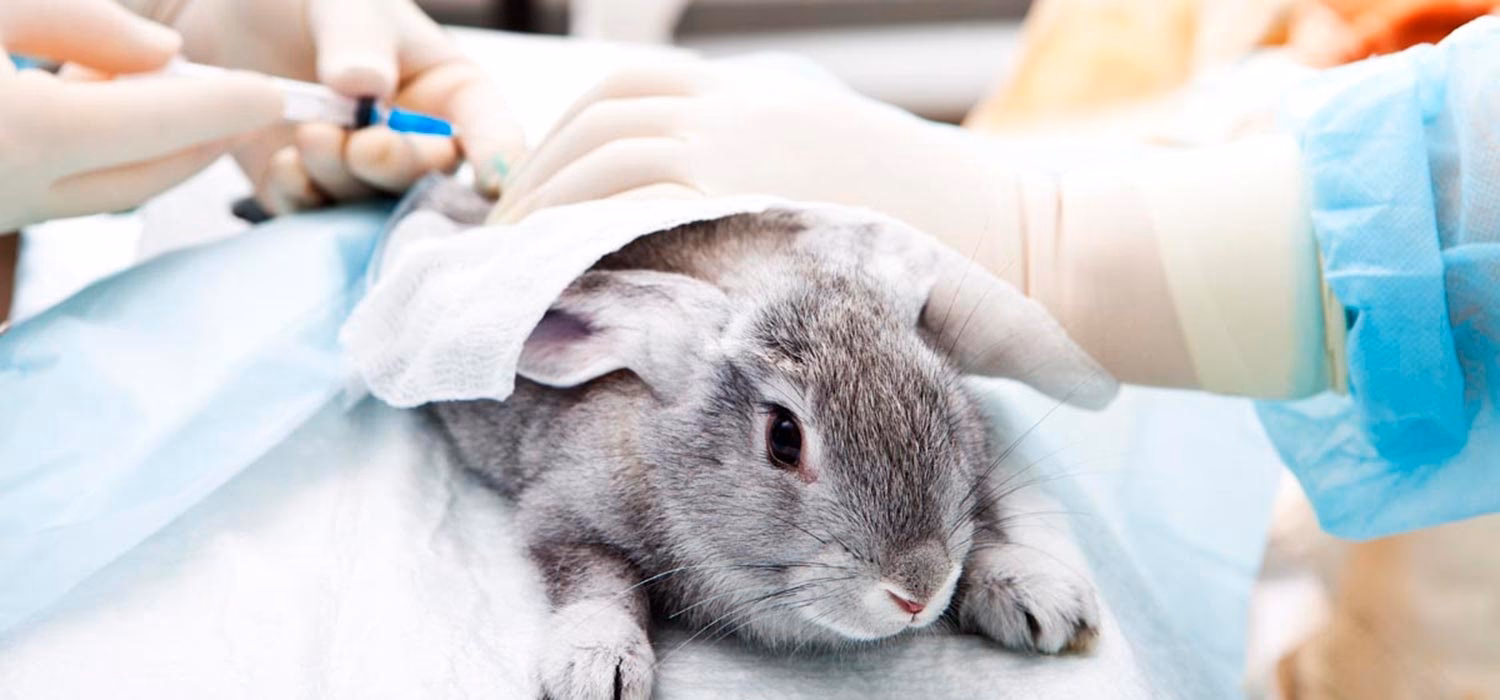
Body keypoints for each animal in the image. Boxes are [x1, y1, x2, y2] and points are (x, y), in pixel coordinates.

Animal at [426, 201, 1113, 700]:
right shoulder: (563, 513)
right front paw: (598, 668)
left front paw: (1041, 596)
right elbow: (598, 581)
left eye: (941, 399)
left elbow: (983, 528)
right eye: (784, 437)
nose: (917, 592)